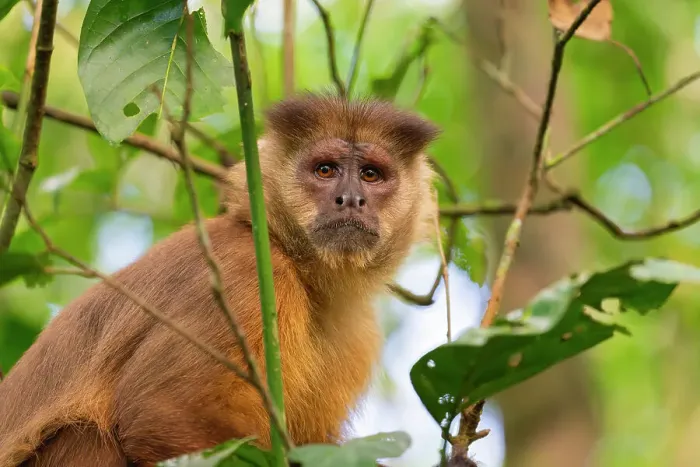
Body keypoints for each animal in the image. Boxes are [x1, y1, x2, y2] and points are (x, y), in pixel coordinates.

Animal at [0, 93, 440, 467]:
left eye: (371, 174)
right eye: (325, 170)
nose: (350, 199)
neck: (301, 270)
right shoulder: (246, 272)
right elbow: (161, 413)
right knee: (88, 435)